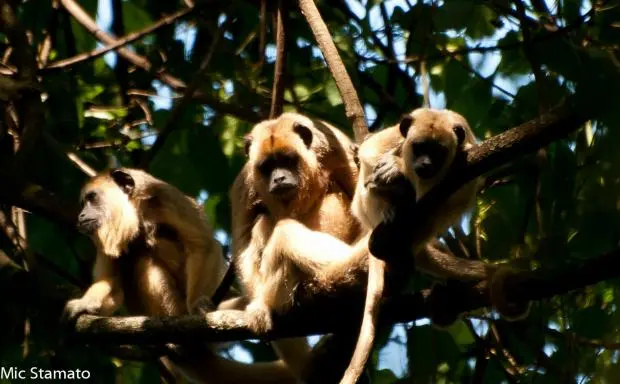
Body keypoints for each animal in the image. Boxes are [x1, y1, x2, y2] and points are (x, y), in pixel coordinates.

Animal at [64, 169, 296, 384]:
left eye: (92, 198)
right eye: (83, 203)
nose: (80, 216)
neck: (135, 211)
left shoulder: (163, 196)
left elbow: (202, 245)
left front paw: (197, 305)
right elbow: (110, 282)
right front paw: (85, 305)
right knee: (140, 259)